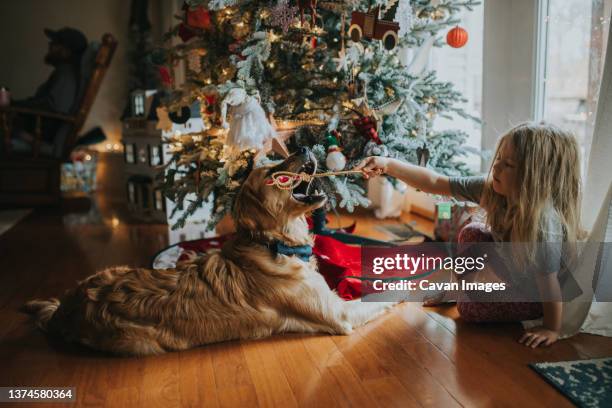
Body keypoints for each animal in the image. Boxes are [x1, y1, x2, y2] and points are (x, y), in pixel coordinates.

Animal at [21, 148, 396, 356]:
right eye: (273, 172)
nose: (305, 145)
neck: (273, 244)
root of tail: (67, 308)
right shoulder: (339, 313)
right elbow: (377, 298)